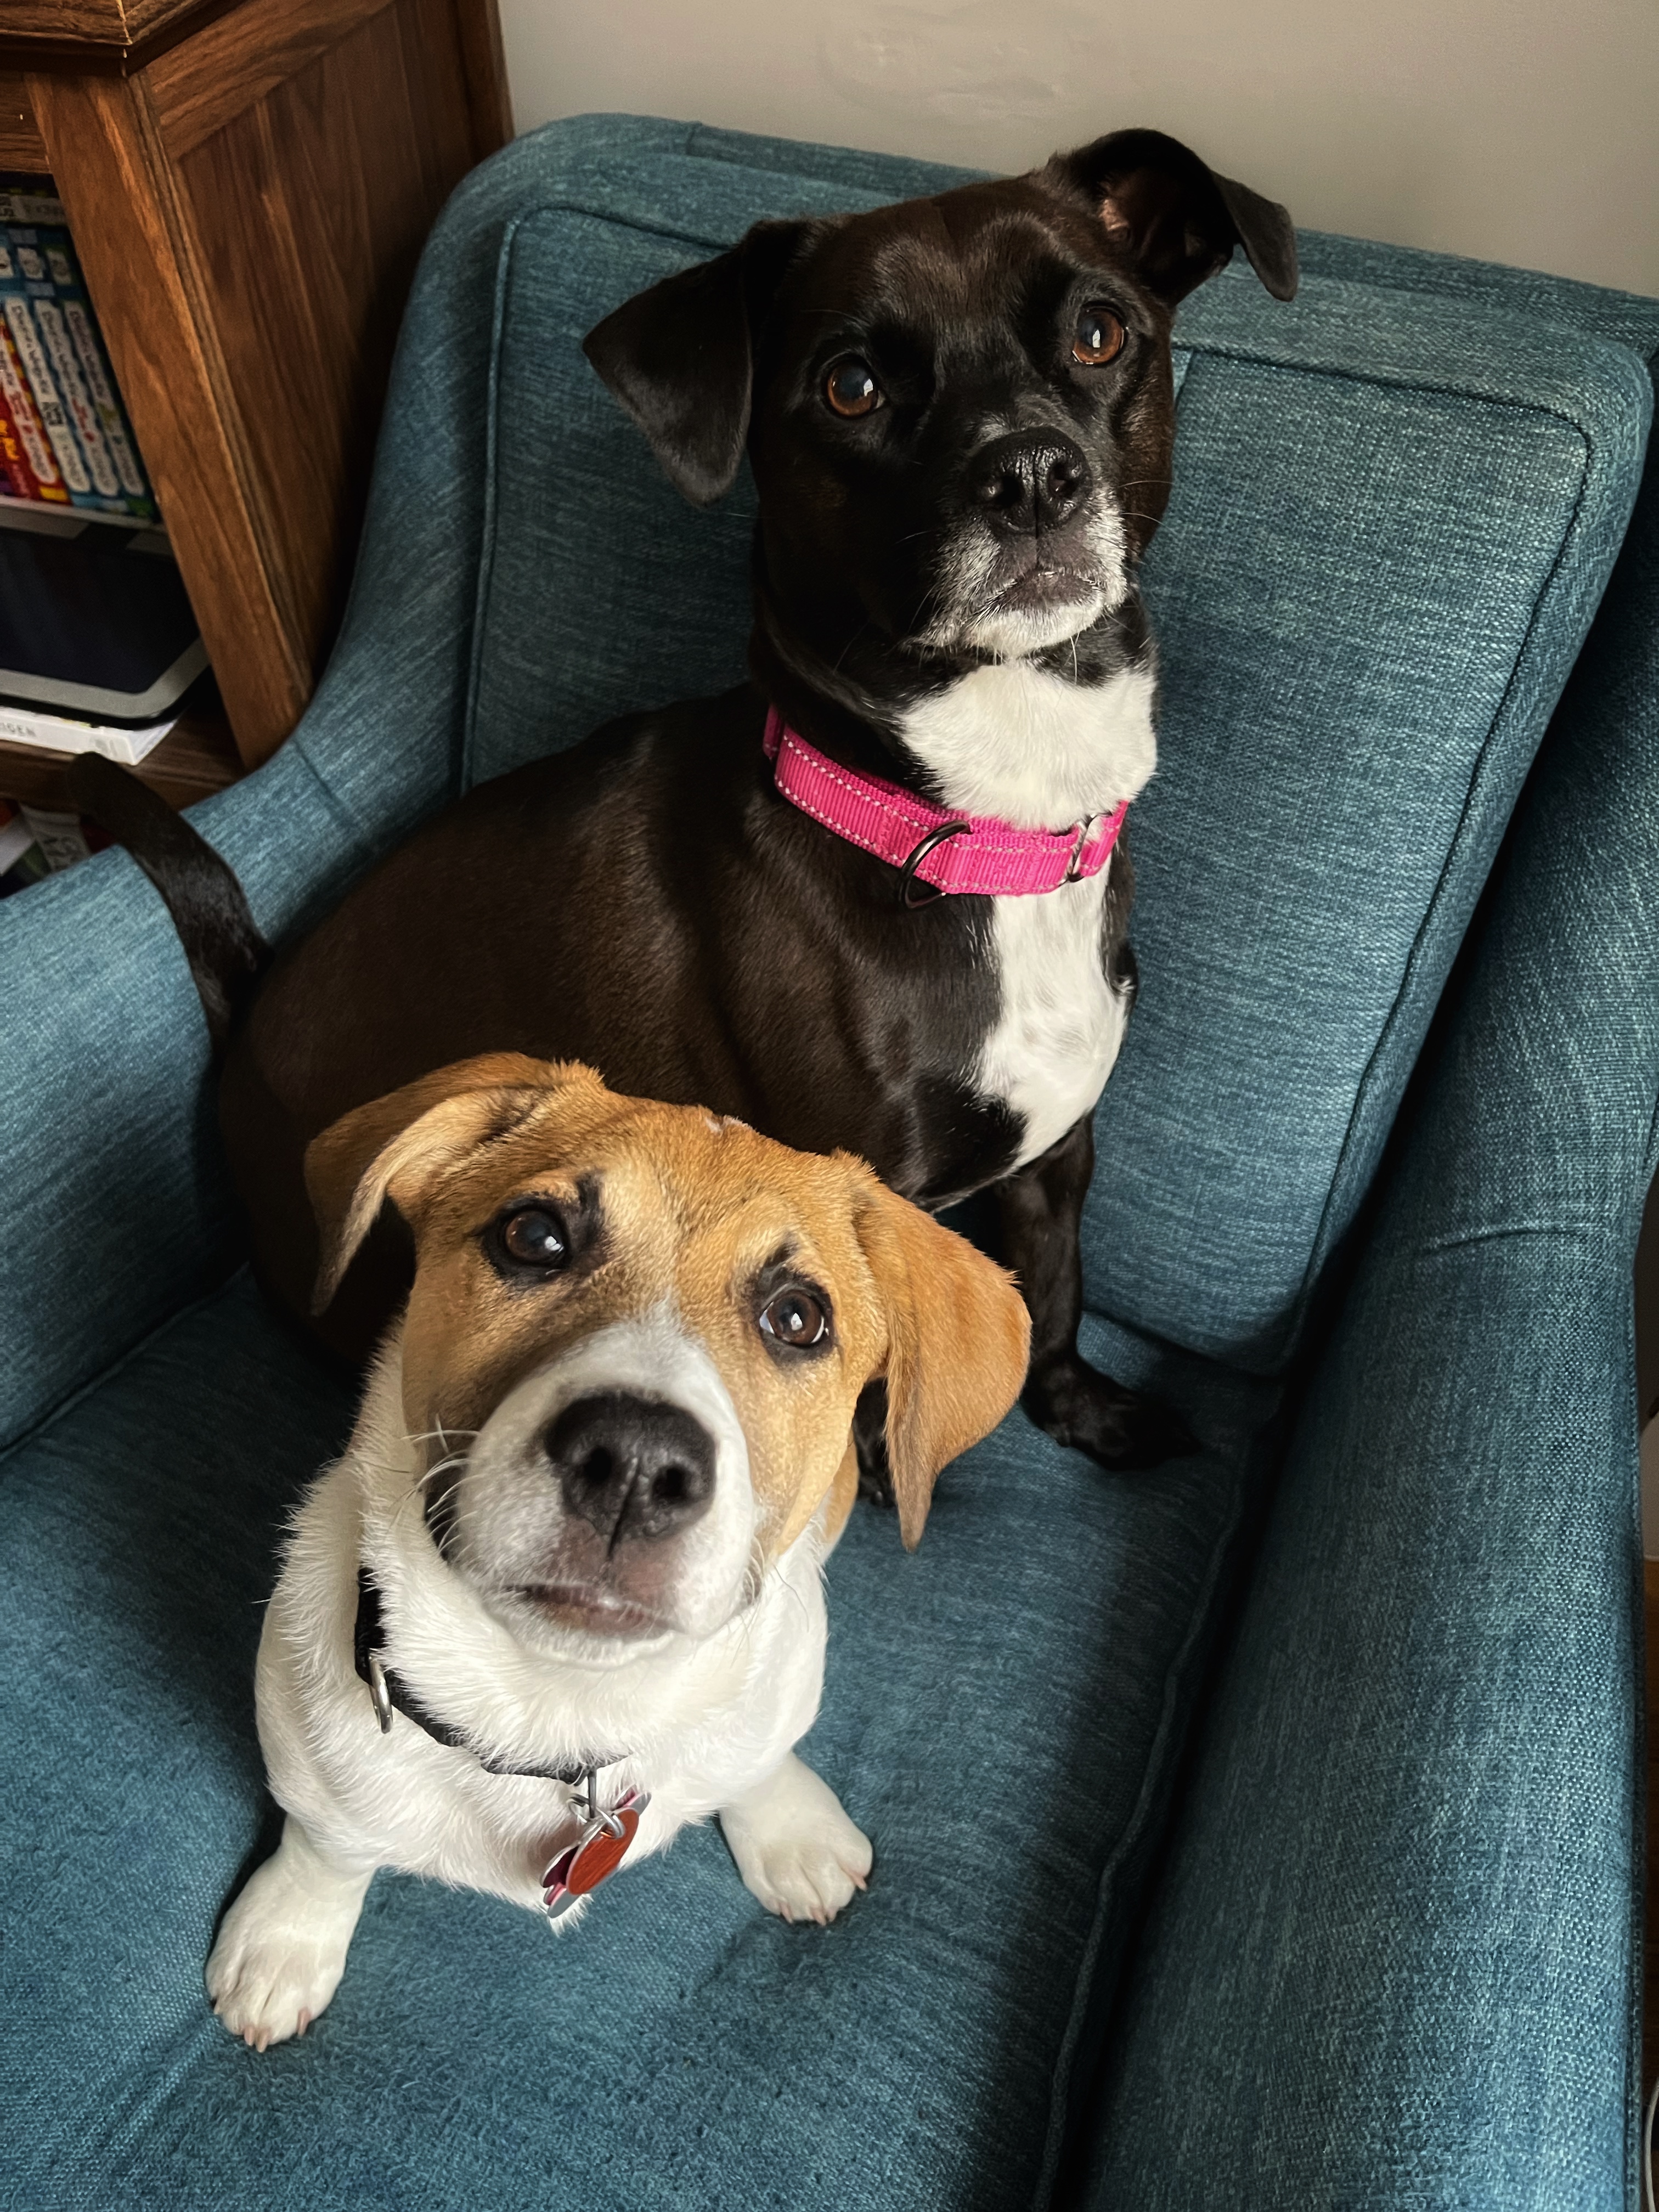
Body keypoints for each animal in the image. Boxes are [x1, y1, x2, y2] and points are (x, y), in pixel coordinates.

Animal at [84, 127, 1295, 1483]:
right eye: (850, 387)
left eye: (1098, 333)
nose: (1031, 474)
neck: (970, 823)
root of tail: (250, 1007)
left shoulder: (1059, 1155)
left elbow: (1059, 1294)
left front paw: (1080, 1410)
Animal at [205, 1053, 1030, 2048]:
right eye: (534, 1236)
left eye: (798, 1318)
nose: (635, 1463)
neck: (565, 1704)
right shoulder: (308, 1738)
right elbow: (327, 1842)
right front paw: (288, 1937)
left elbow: (760, 1760)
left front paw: (789, 1828)